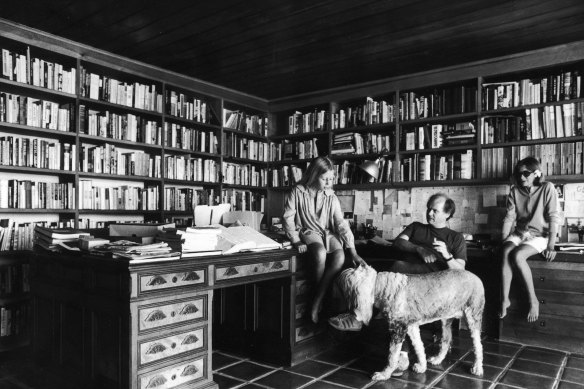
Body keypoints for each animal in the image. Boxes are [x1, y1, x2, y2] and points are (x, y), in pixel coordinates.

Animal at [336, 264, 486, 378]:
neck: (382, 287)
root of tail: (477, 278)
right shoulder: (411, 327)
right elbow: (419, 346)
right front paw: (422, 366)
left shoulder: (398, 328)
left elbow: (392, 355)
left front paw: (383, 375)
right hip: (446, 319)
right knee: (446, 340)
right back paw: (437, 359)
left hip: (473, 317)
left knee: (478, 345)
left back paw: (477, 368)